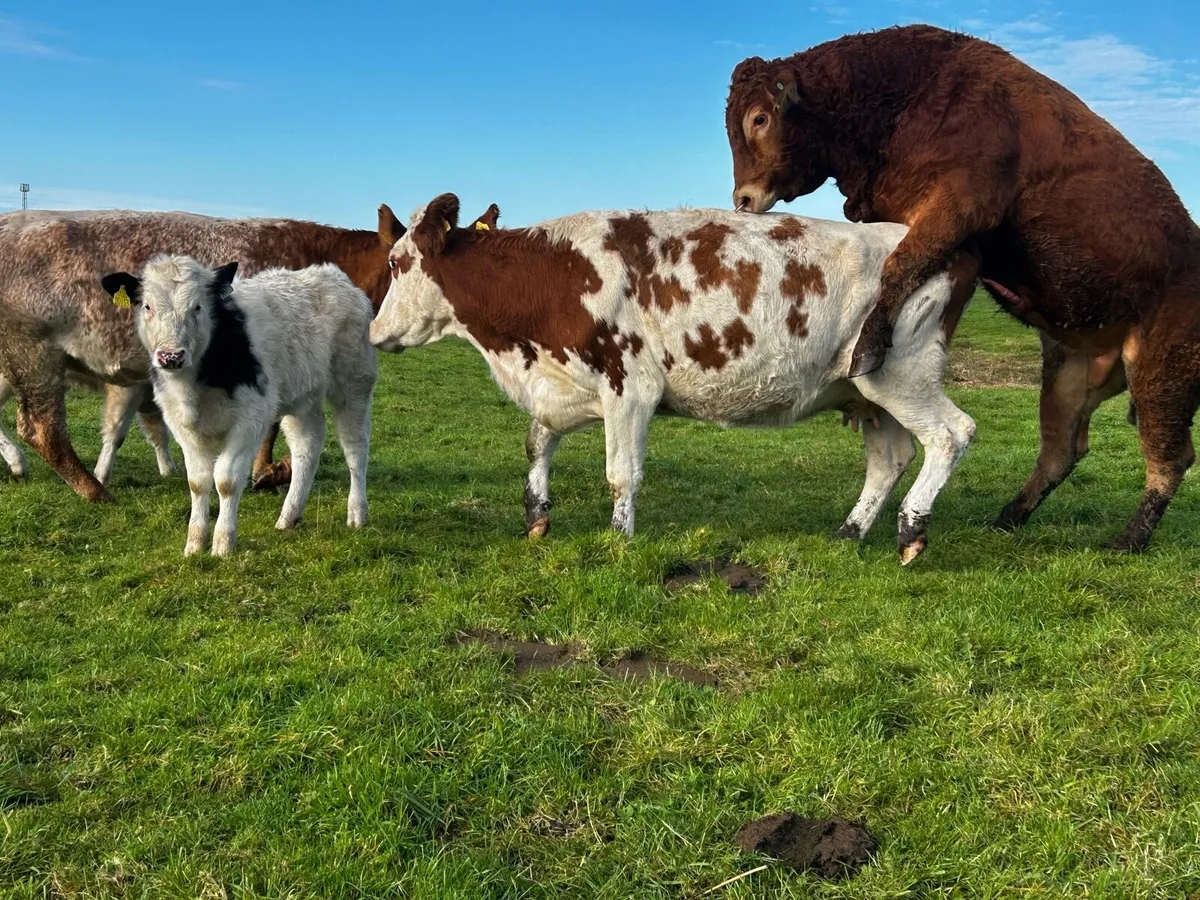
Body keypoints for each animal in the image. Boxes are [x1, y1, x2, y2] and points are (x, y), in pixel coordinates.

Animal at [0, 206, 402, 499]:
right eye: (398, 263)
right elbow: (270, 428)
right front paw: (267, 472)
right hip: (34, 356)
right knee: (42, 431)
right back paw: (94, 491)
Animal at [100, 256, 377, 556]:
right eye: (147, 306)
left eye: (198, 306)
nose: (171, 356)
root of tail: (334, 276)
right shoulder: (180, 423)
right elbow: (197, 481)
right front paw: (194, 544)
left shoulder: (250, 419)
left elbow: (226, 480)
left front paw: (223, 544)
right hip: (302, 399)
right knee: (307, 447)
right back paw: (288, 517)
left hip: (354, 385)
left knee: (355, 448)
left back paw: (357, 513)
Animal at [370, 193, 979, 563]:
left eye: (397, 263)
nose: (375, 332)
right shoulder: (566, 387)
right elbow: (537, 442)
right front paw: (536, 515)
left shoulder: (628, 387)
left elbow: (621, 475)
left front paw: (619, 540)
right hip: (867, 391)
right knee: (890, 458)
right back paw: (849, 532)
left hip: (902, 375)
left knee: (952, 434)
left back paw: (911, 528)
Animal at [724, 24, 1200, 552]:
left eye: (760, 117)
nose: (743, 198)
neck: (911, 92)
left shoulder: (958, 207)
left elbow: (902, 263)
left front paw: (869, 348)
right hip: (1067, 376)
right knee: (1061, 452)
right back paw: (1007, 518)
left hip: (1162, 370)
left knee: (1169, 458)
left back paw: (1128, 539)